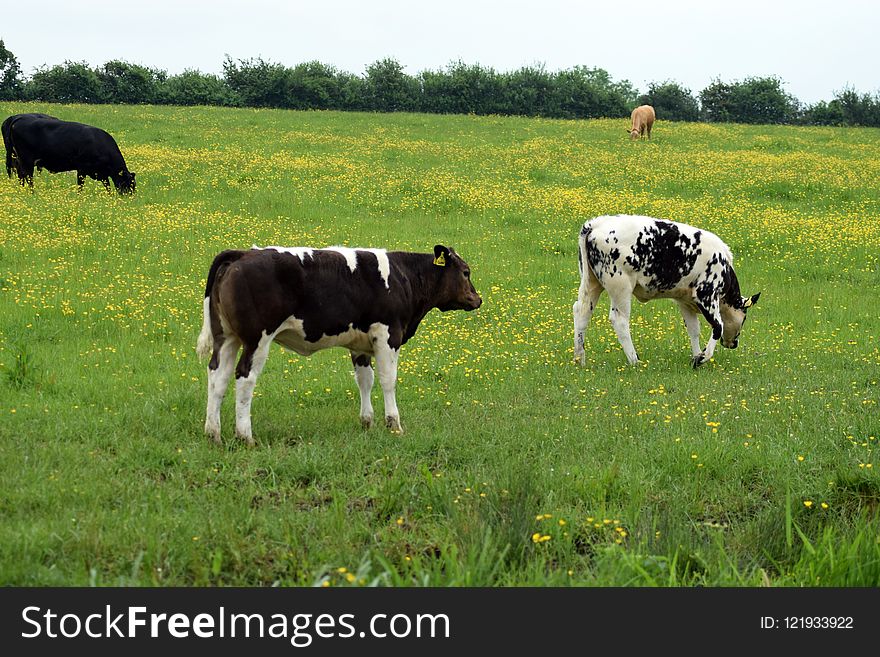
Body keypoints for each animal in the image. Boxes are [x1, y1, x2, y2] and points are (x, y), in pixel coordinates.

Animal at [6, 116, 137, 193]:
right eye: (129, 184)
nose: (130, 198)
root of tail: (19, 119)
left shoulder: (101, 173)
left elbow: (108, 186)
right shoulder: (82, 169)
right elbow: (80, 186)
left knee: (21, 175)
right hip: (26, 160)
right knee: (28, 177)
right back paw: (32, 192)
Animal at [195, 243, 482, 444]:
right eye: (466, 272)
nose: (477, 299)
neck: (403, 277)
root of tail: (242, 254)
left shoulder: (360, 344)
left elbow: (365, 381)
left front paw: (367, 422)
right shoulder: (388, 335)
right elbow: (388, 380)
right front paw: (394, 424)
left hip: (227, 337)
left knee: (218, 377)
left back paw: (213, 433)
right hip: (257, 339)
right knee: (245, 378)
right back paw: (245, 436)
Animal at [576, 217, 760, 366]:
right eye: (744, 317)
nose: (734, 344)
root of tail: (596, 224)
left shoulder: (685, 300)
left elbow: (694, 329)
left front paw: (696, 355)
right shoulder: (706, 294)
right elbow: (718, 326)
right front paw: (702, 358)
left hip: (591, 283)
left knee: (581, 312)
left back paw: (579, 359)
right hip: (621, 287)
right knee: (619, 320)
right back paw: (635, 360)